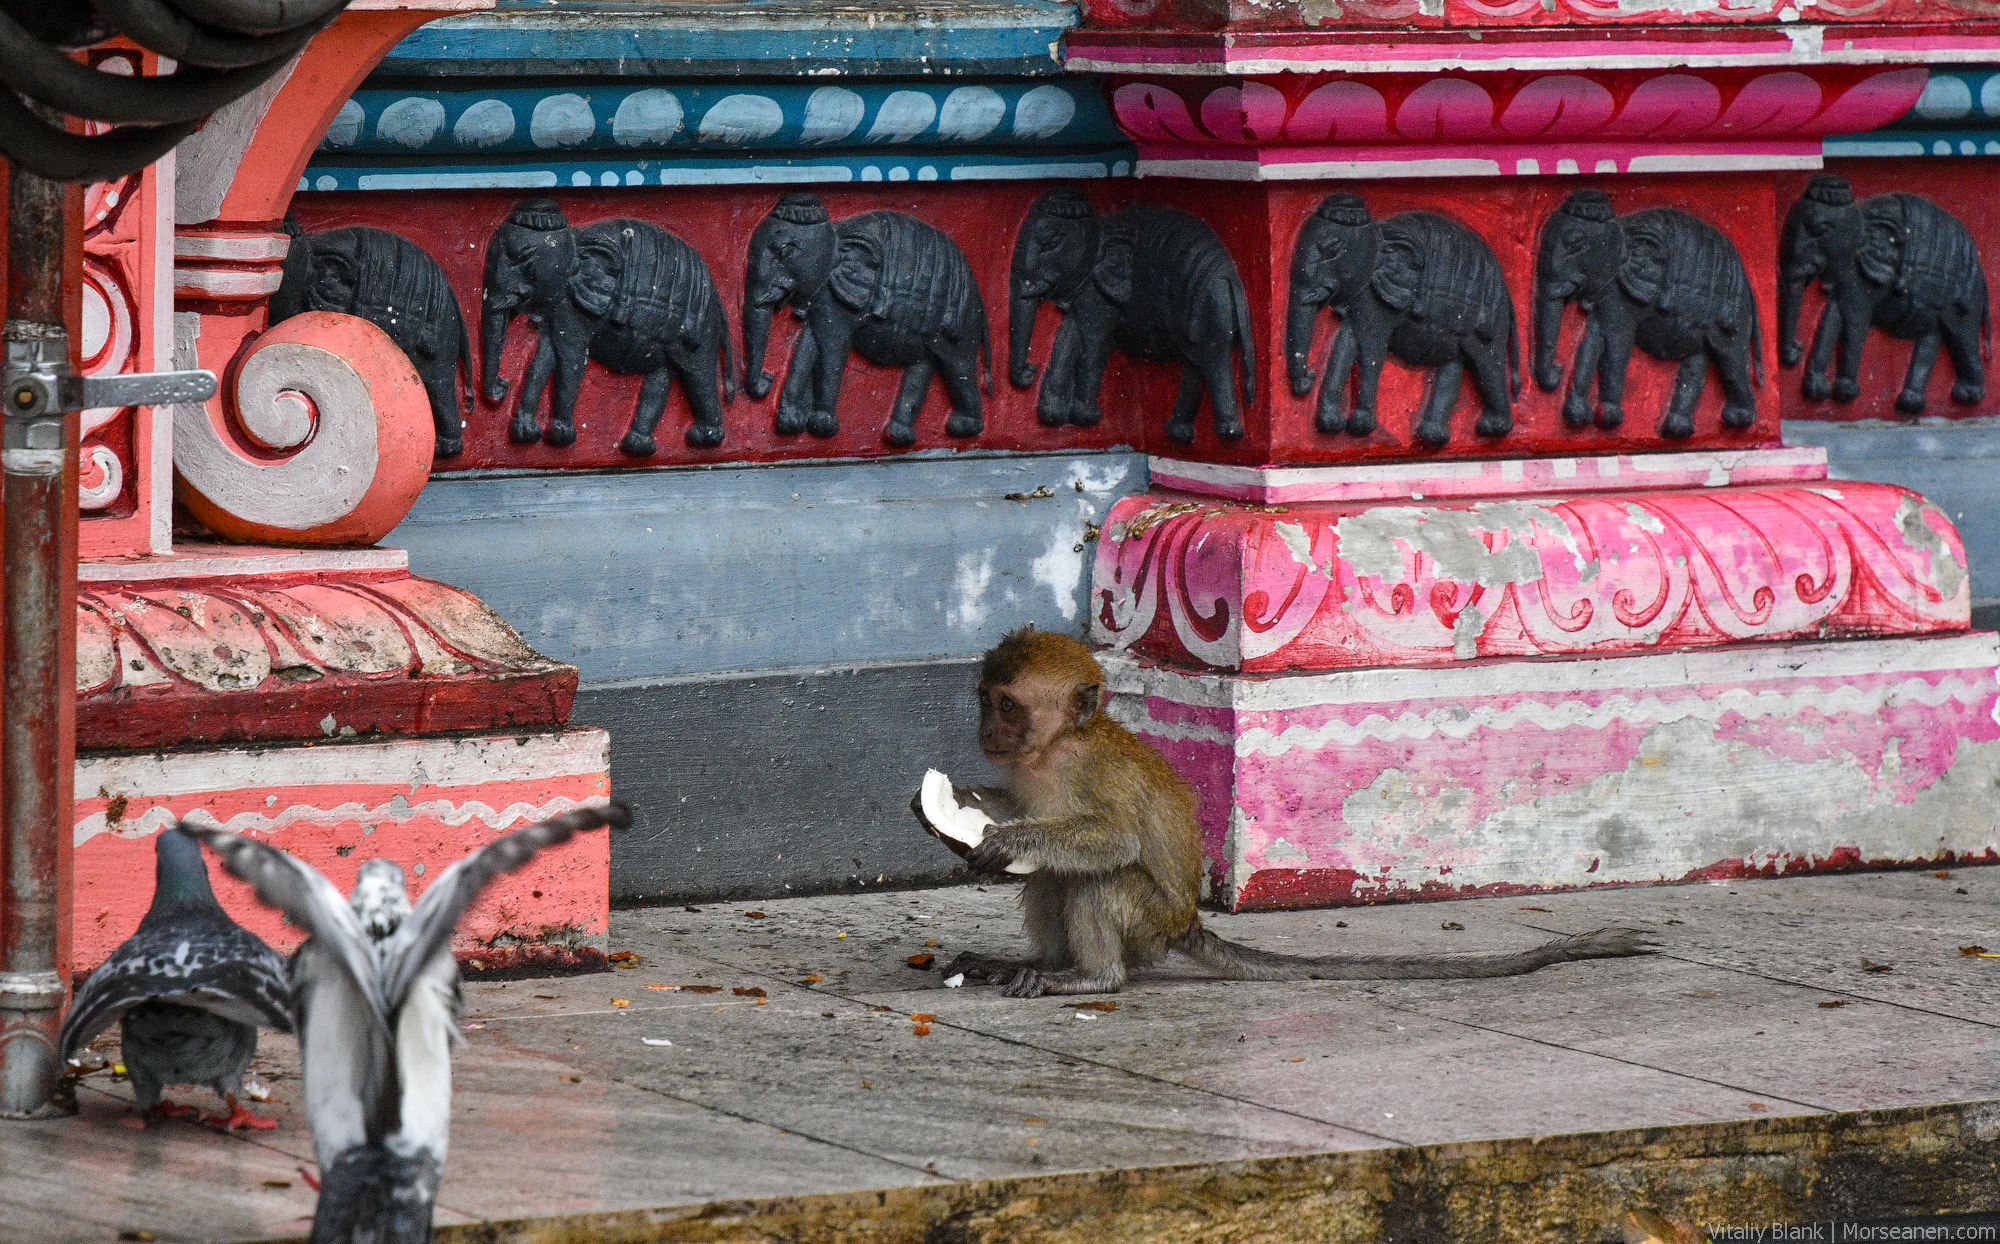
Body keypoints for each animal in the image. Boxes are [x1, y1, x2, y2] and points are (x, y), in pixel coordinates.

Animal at [920, 632, 1656, 1004]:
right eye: (984, 699)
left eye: (1007, 704)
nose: (985, 729)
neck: (1053, 749)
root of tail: (1186, 923)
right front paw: (959, 810)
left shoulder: (1090, 770)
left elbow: (1115, 838)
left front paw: (1005, 836)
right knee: (1052, 876)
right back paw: (1031, 962)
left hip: (1149, 926)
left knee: (1097, 878)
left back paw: (1086, 975)